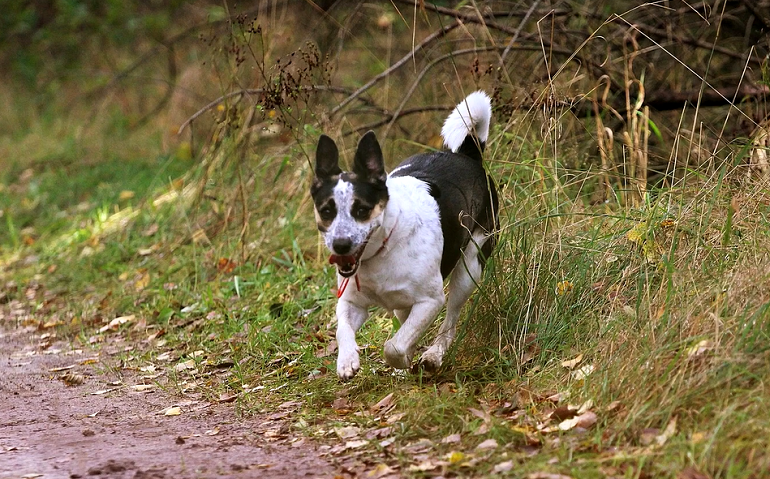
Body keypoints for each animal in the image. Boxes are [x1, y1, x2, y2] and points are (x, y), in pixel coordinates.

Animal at [312, 91, 498, 382]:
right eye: (326, 211)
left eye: (362, 210)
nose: (341, 245)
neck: (380, 252)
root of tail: (467, 155)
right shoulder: (352, 302)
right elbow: (343, 329)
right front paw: (347, 360)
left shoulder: (430, 301)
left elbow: (395, 346)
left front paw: (404, 359)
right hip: (404, 303)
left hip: (470, 267)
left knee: (451, 320)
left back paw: (434, 355)